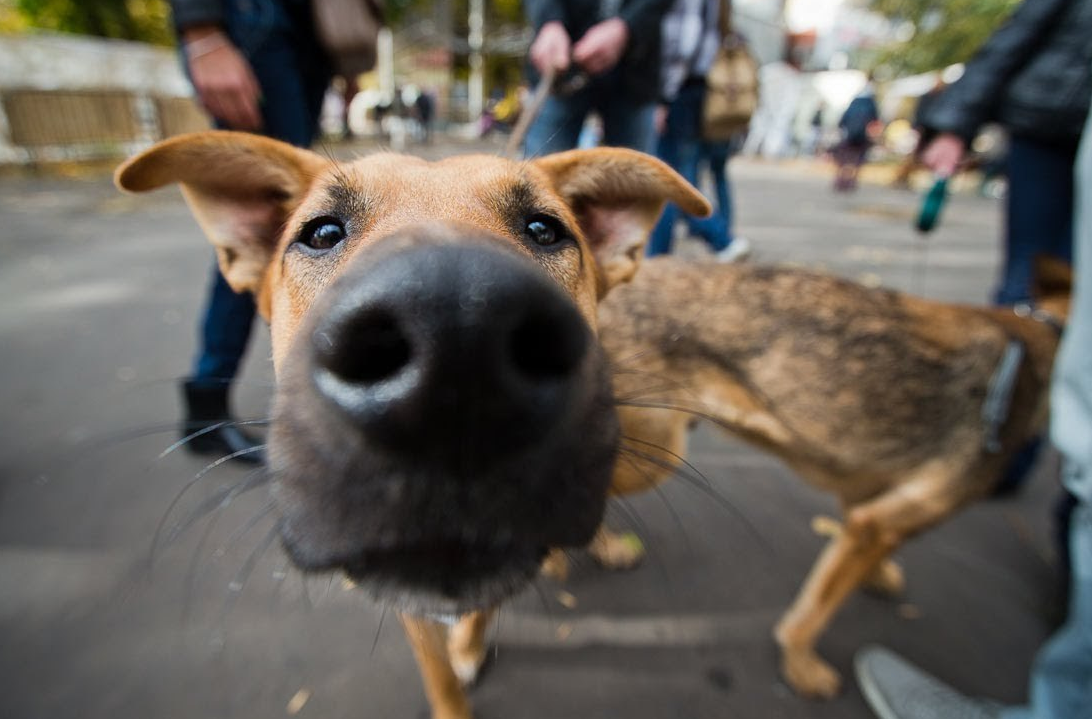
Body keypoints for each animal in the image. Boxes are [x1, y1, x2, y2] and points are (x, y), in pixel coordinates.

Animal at [594, 255, 1070, 694]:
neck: (1047, 340)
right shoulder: (876, 522)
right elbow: (814, 614)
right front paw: (802, 666)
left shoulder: (867, 503)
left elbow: (861, 557)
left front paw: (879, 575)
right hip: (655, 455)